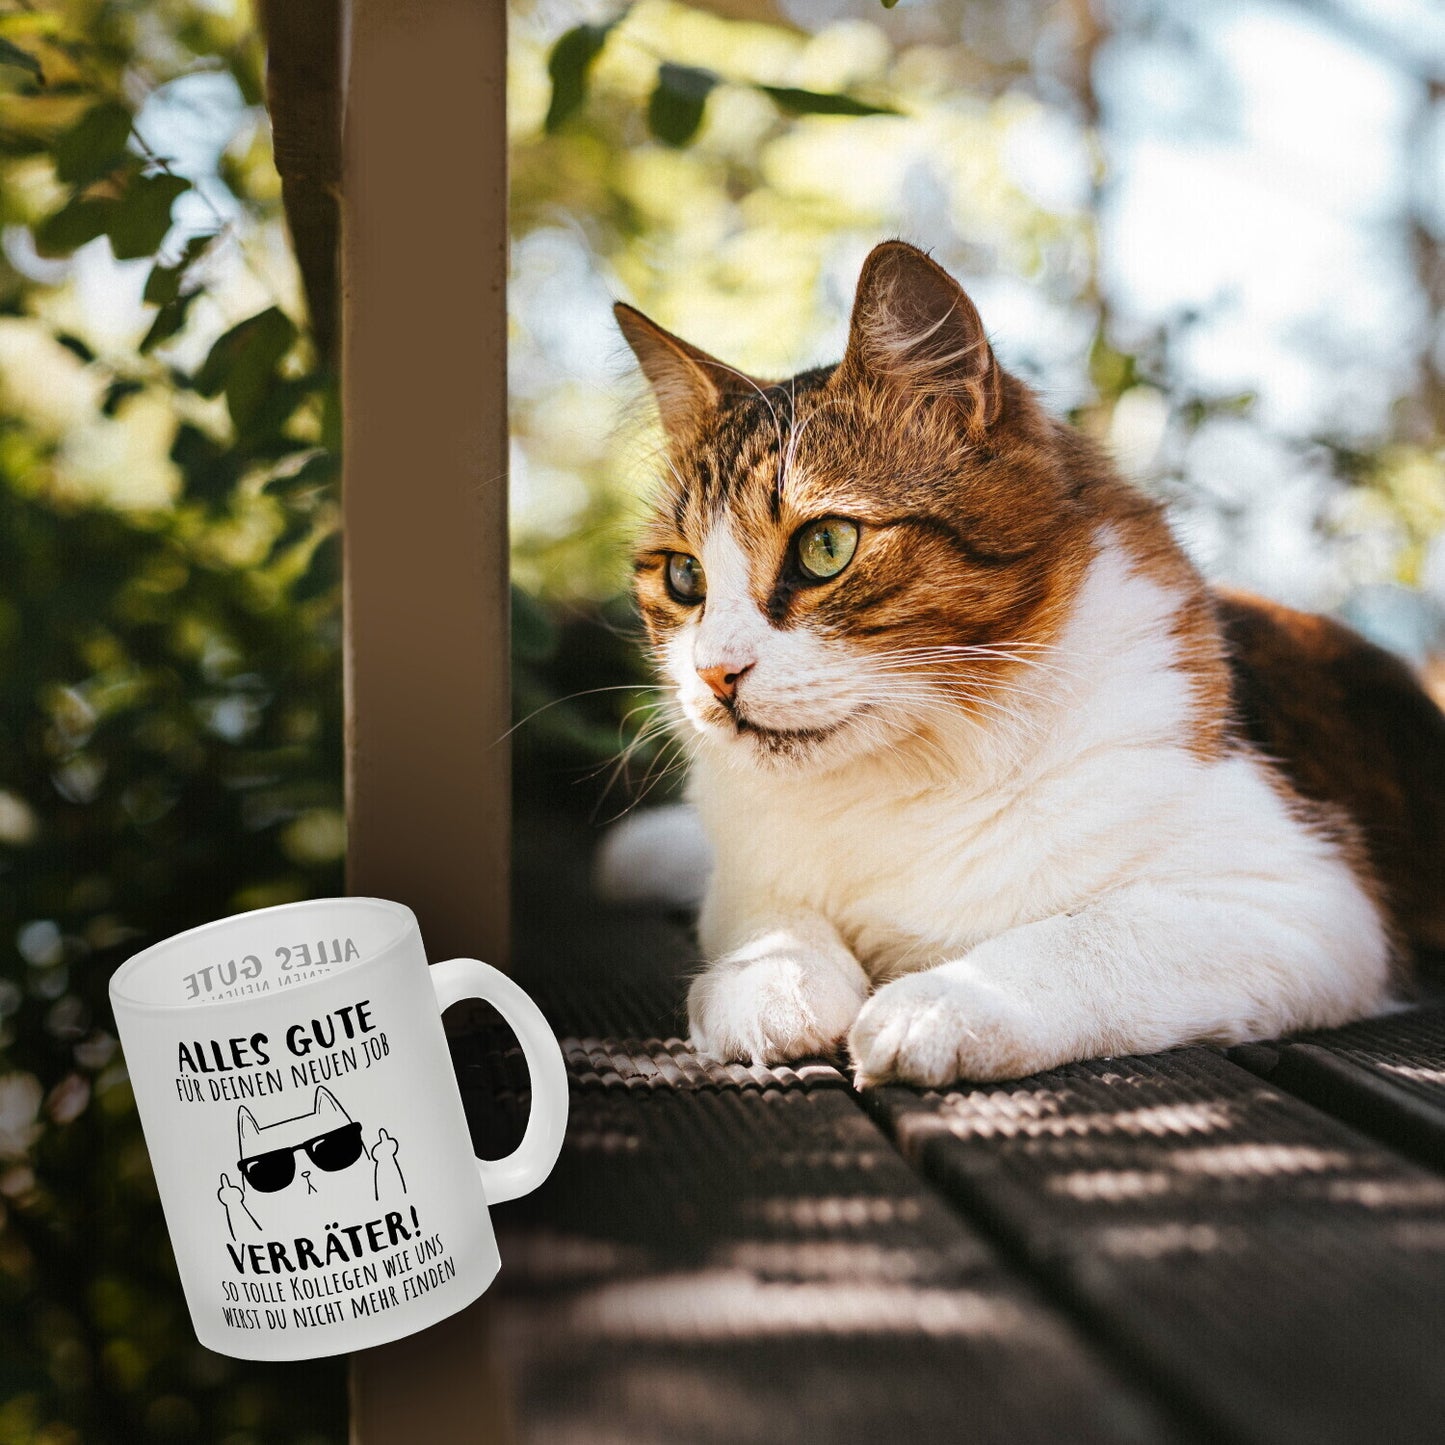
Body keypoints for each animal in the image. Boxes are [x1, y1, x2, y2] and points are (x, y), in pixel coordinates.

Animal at [615, 242, 1445, 1086]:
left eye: (825, 547)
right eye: (683, 577)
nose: (713, 675)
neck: (905, 781)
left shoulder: (1305, 899)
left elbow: (1085, 936)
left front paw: (938, 1004)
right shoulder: (747, 872)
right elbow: (766, 913)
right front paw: (772, 981)